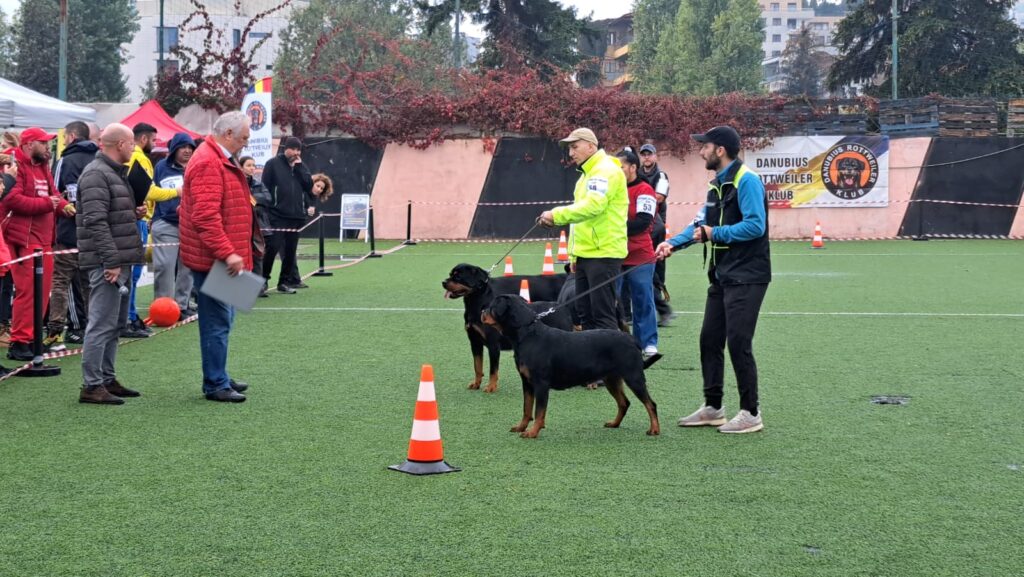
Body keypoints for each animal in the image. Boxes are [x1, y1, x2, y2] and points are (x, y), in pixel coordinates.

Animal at [440, 264, 573, 393]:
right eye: (451, 275)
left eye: (458, 276)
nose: (443, 282)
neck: (476, 305)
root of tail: (563, 308)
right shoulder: (475, 342)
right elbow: (477, 366)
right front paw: (476, 384)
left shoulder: (493, 345)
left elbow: (493, 370)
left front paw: (491, 387)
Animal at [481, 295, 659, 440]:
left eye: (492, 307)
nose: (482, 311)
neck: (527, 334)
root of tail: (633, 340)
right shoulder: (527, 382)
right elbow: (526, 408)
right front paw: (521, 427)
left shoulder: (541, 384)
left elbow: (539, 411)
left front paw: (532, 432)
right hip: (612, 380)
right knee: (624, 403)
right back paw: (614, 424)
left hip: (633, 377)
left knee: (650, 404)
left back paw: (654, 430)